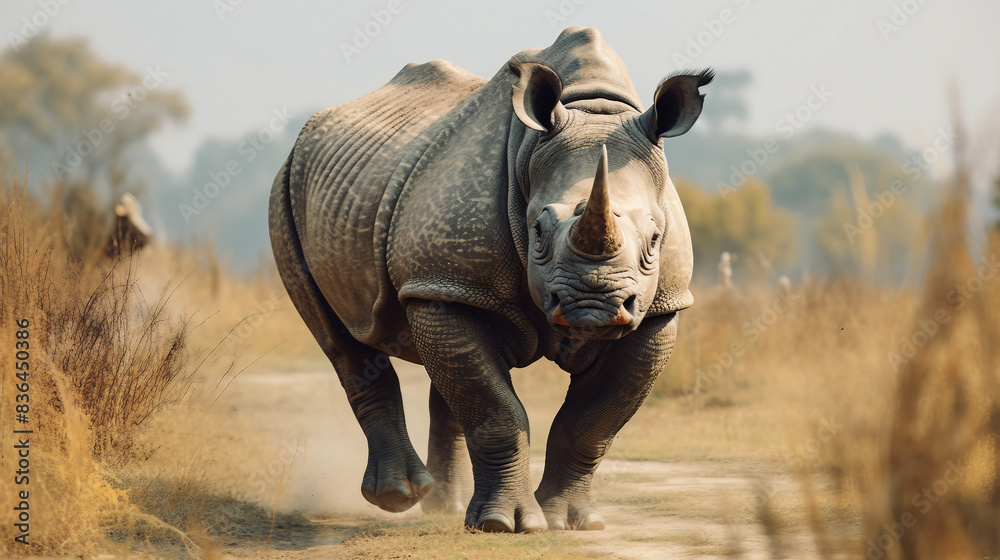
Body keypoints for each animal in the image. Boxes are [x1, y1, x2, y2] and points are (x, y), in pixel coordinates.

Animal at [269, 27, 711, 533]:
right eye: (537, 231)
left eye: (656, 239)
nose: (594, 307)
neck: (592, 110)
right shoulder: (447, 275)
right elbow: (497, 410)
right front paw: (508, 526)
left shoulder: (660, 307)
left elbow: (592, 422)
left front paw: (572, 523)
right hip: (288, 191)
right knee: (341, 340)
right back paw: (401, 496)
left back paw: (448, 506)